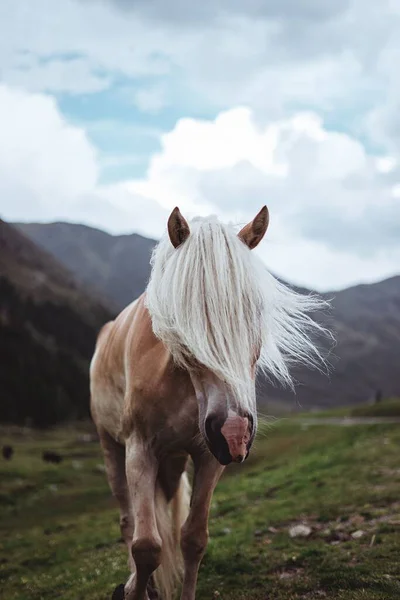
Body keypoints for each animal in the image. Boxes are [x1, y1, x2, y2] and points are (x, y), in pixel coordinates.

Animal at [90, 206, 328, 600]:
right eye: (181, 315)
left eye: (255, 311)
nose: (234, 433)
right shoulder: (139, 449)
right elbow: (145, 546)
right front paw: (134, 587)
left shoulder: (209, 456)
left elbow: (192, 539)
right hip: (111, 446)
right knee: (128, 524)